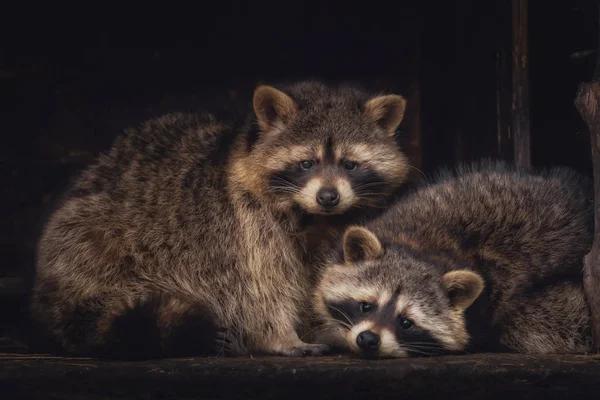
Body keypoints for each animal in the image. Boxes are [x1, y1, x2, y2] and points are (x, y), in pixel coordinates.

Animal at [29, 80, 412, 360]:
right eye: (307, 163)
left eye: (350, 164)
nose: (328, 197)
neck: (311, 216)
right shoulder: (238, 226)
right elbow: (258, 288)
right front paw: (283, 336)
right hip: (92, 249)